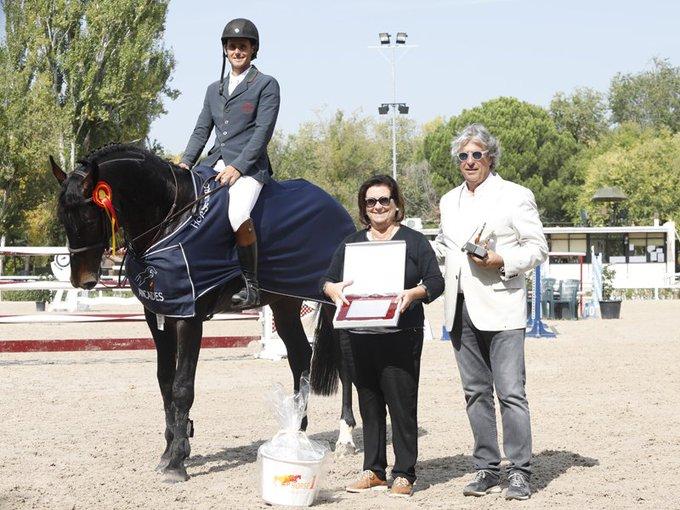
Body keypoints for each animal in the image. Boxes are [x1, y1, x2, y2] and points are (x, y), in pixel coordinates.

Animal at [50, 143, 358, 482]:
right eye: (62, 216)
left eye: (89, 216)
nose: (83, 281)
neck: (171, 221)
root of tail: (337, 207)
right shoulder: (158, 314)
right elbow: (165, 381)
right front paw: (171, 449)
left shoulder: (189, 318)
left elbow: (183, 386)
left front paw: (176, 463)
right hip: (284, 303)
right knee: (300, 354)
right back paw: (297, 429)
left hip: (334, 303)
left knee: (346, 365)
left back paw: (346, 439)